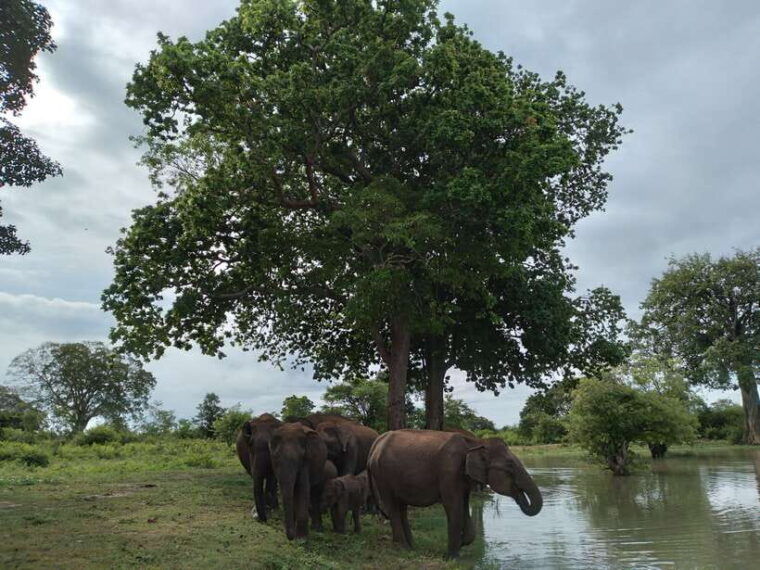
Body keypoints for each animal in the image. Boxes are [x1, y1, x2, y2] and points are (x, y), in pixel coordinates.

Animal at [367, 429, 543, 558]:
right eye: (510, 466)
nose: (520, 494)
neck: (476, 443)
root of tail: (376, 443)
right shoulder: (449, 470)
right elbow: (454, 506)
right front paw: (452, 557)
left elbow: (464, 505)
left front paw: (461, 544)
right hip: (382, 475)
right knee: (392, 506)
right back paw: (404, 549)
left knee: (401, 506)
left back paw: (412, 547)